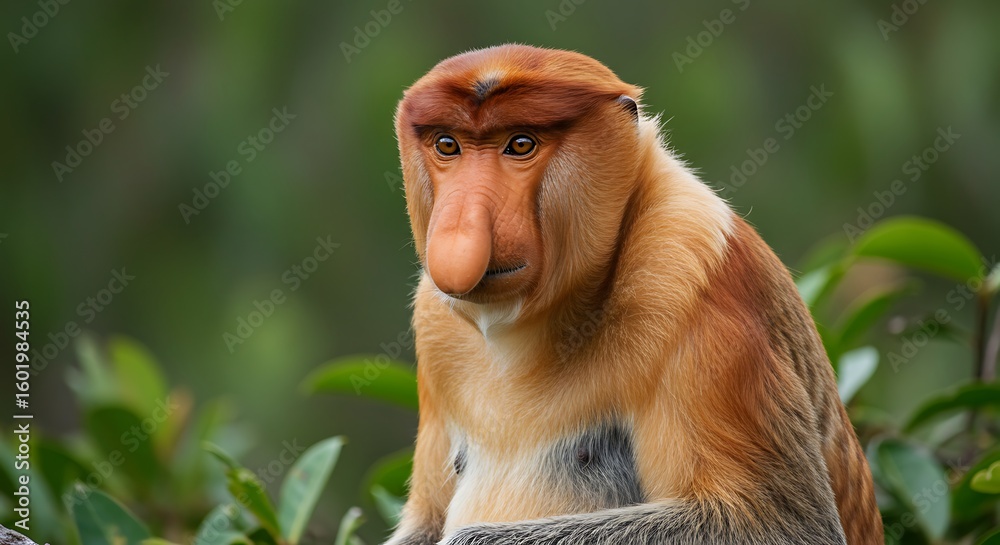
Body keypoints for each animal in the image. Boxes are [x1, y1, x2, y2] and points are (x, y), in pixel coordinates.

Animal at [386, 44, 883, 545]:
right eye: (448, 145)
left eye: (521, 144)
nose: (458, 229)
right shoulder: (434, 325)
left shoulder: (691, 274)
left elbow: (777, 523)